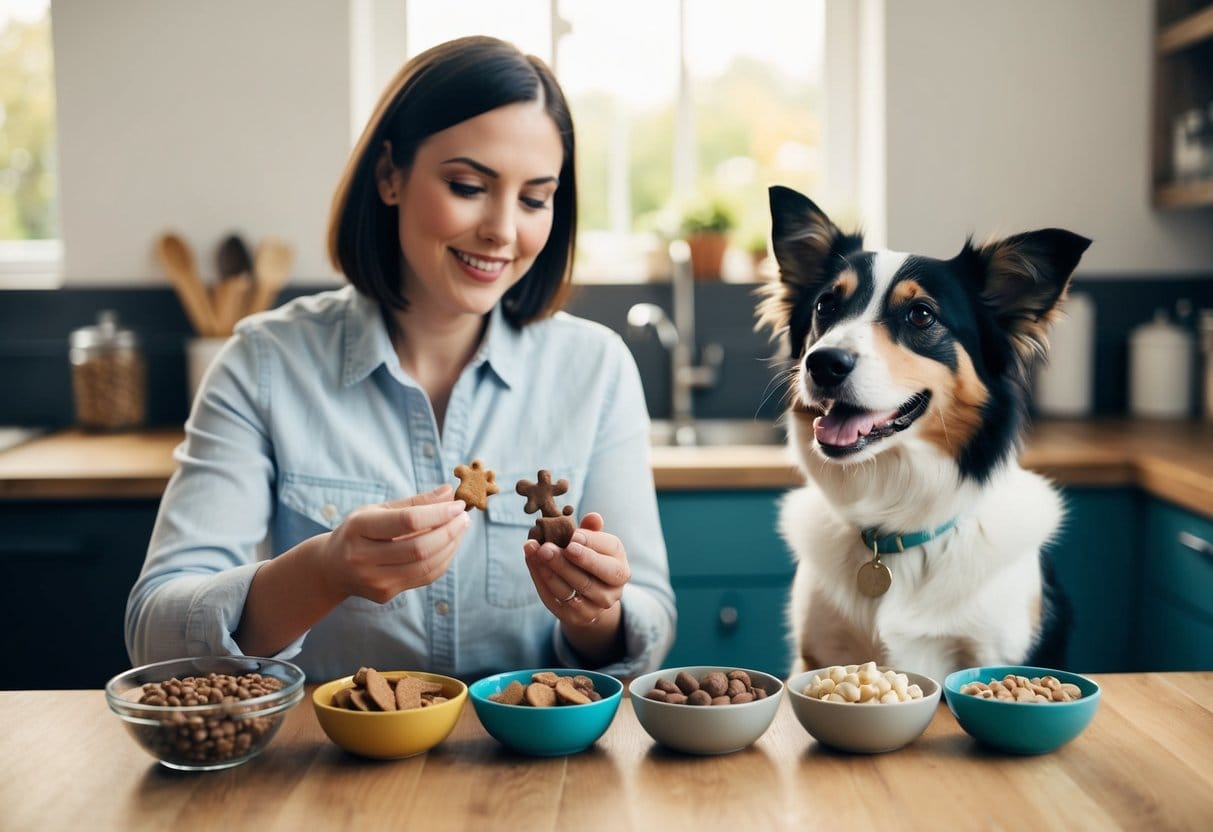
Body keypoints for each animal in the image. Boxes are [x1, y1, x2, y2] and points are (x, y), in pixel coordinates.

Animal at [756, 184, 1091, 684]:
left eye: (920, 315)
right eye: (825, 305)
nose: (823, 363)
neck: (894, 533)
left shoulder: (992, 655)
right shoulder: (818, 654)